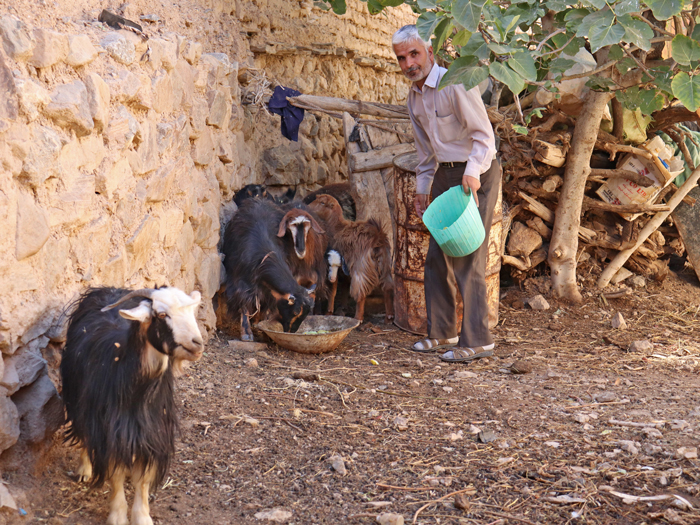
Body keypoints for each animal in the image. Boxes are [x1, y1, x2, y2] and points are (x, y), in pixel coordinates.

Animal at [60, 286, 204, 524]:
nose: (197, 344)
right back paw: (84, 469)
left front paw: (142, 517)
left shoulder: (152, 434)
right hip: (77, 398)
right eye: (162, 314)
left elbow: (143, 479)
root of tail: (108, 289)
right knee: (84, 431)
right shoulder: (111, 432)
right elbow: (115, 474)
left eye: (192, 311)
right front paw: (118, 516)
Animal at [308, 194, 394, 322]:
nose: (308, 207)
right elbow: (344, 287)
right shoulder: (344, 269)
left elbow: (333, 290)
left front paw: (329, 312)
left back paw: (358, 318)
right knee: (387, 288)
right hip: (385, 264)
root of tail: (377, 238)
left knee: (360, 292)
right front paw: (342, 308)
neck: (336, 227)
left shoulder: (336, 266)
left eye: (322, 203)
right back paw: (388, 317)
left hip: (361, 267)